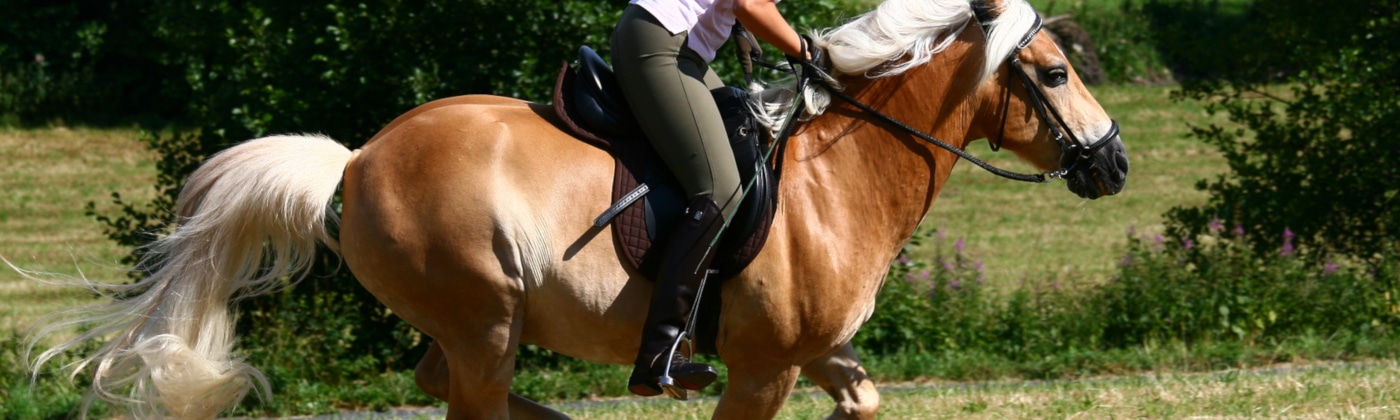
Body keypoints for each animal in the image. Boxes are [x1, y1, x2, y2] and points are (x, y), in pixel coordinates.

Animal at [27, 0, 1125, 417]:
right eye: (1054, 71)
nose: (1113, 163)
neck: (837, 174)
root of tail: (357, 159)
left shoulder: (821, 355)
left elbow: (864, 401)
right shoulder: (764, 367)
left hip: (475, 325)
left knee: (442, 384)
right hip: (484, 317)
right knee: (464, 396)